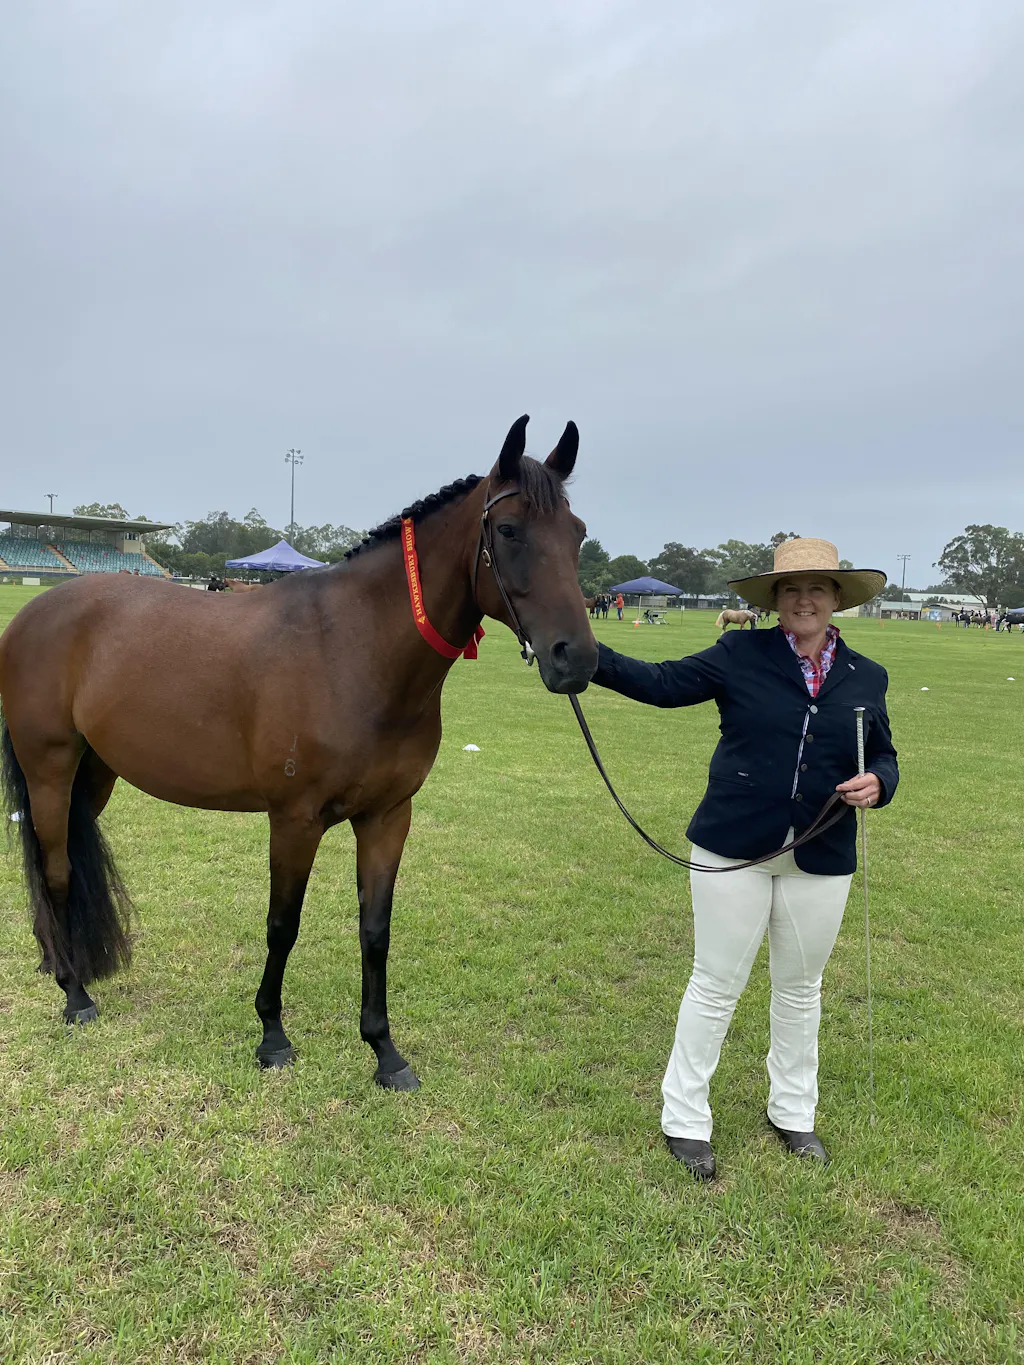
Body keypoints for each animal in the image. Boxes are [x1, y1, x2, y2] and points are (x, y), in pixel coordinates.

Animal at [0, 416, 596, 1092]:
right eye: (510, 529)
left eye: (577, 533)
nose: (576, 659)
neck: (354, 650)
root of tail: (34, 613)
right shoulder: (294, 820)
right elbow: (282, 926)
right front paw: (272, 1037)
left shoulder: (388, 817)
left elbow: (375, 930)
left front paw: (385, 1052)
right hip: (50, 768)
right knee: (56, 869)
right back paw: (74, 993)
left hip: (94, 776)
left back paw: (57, 963)